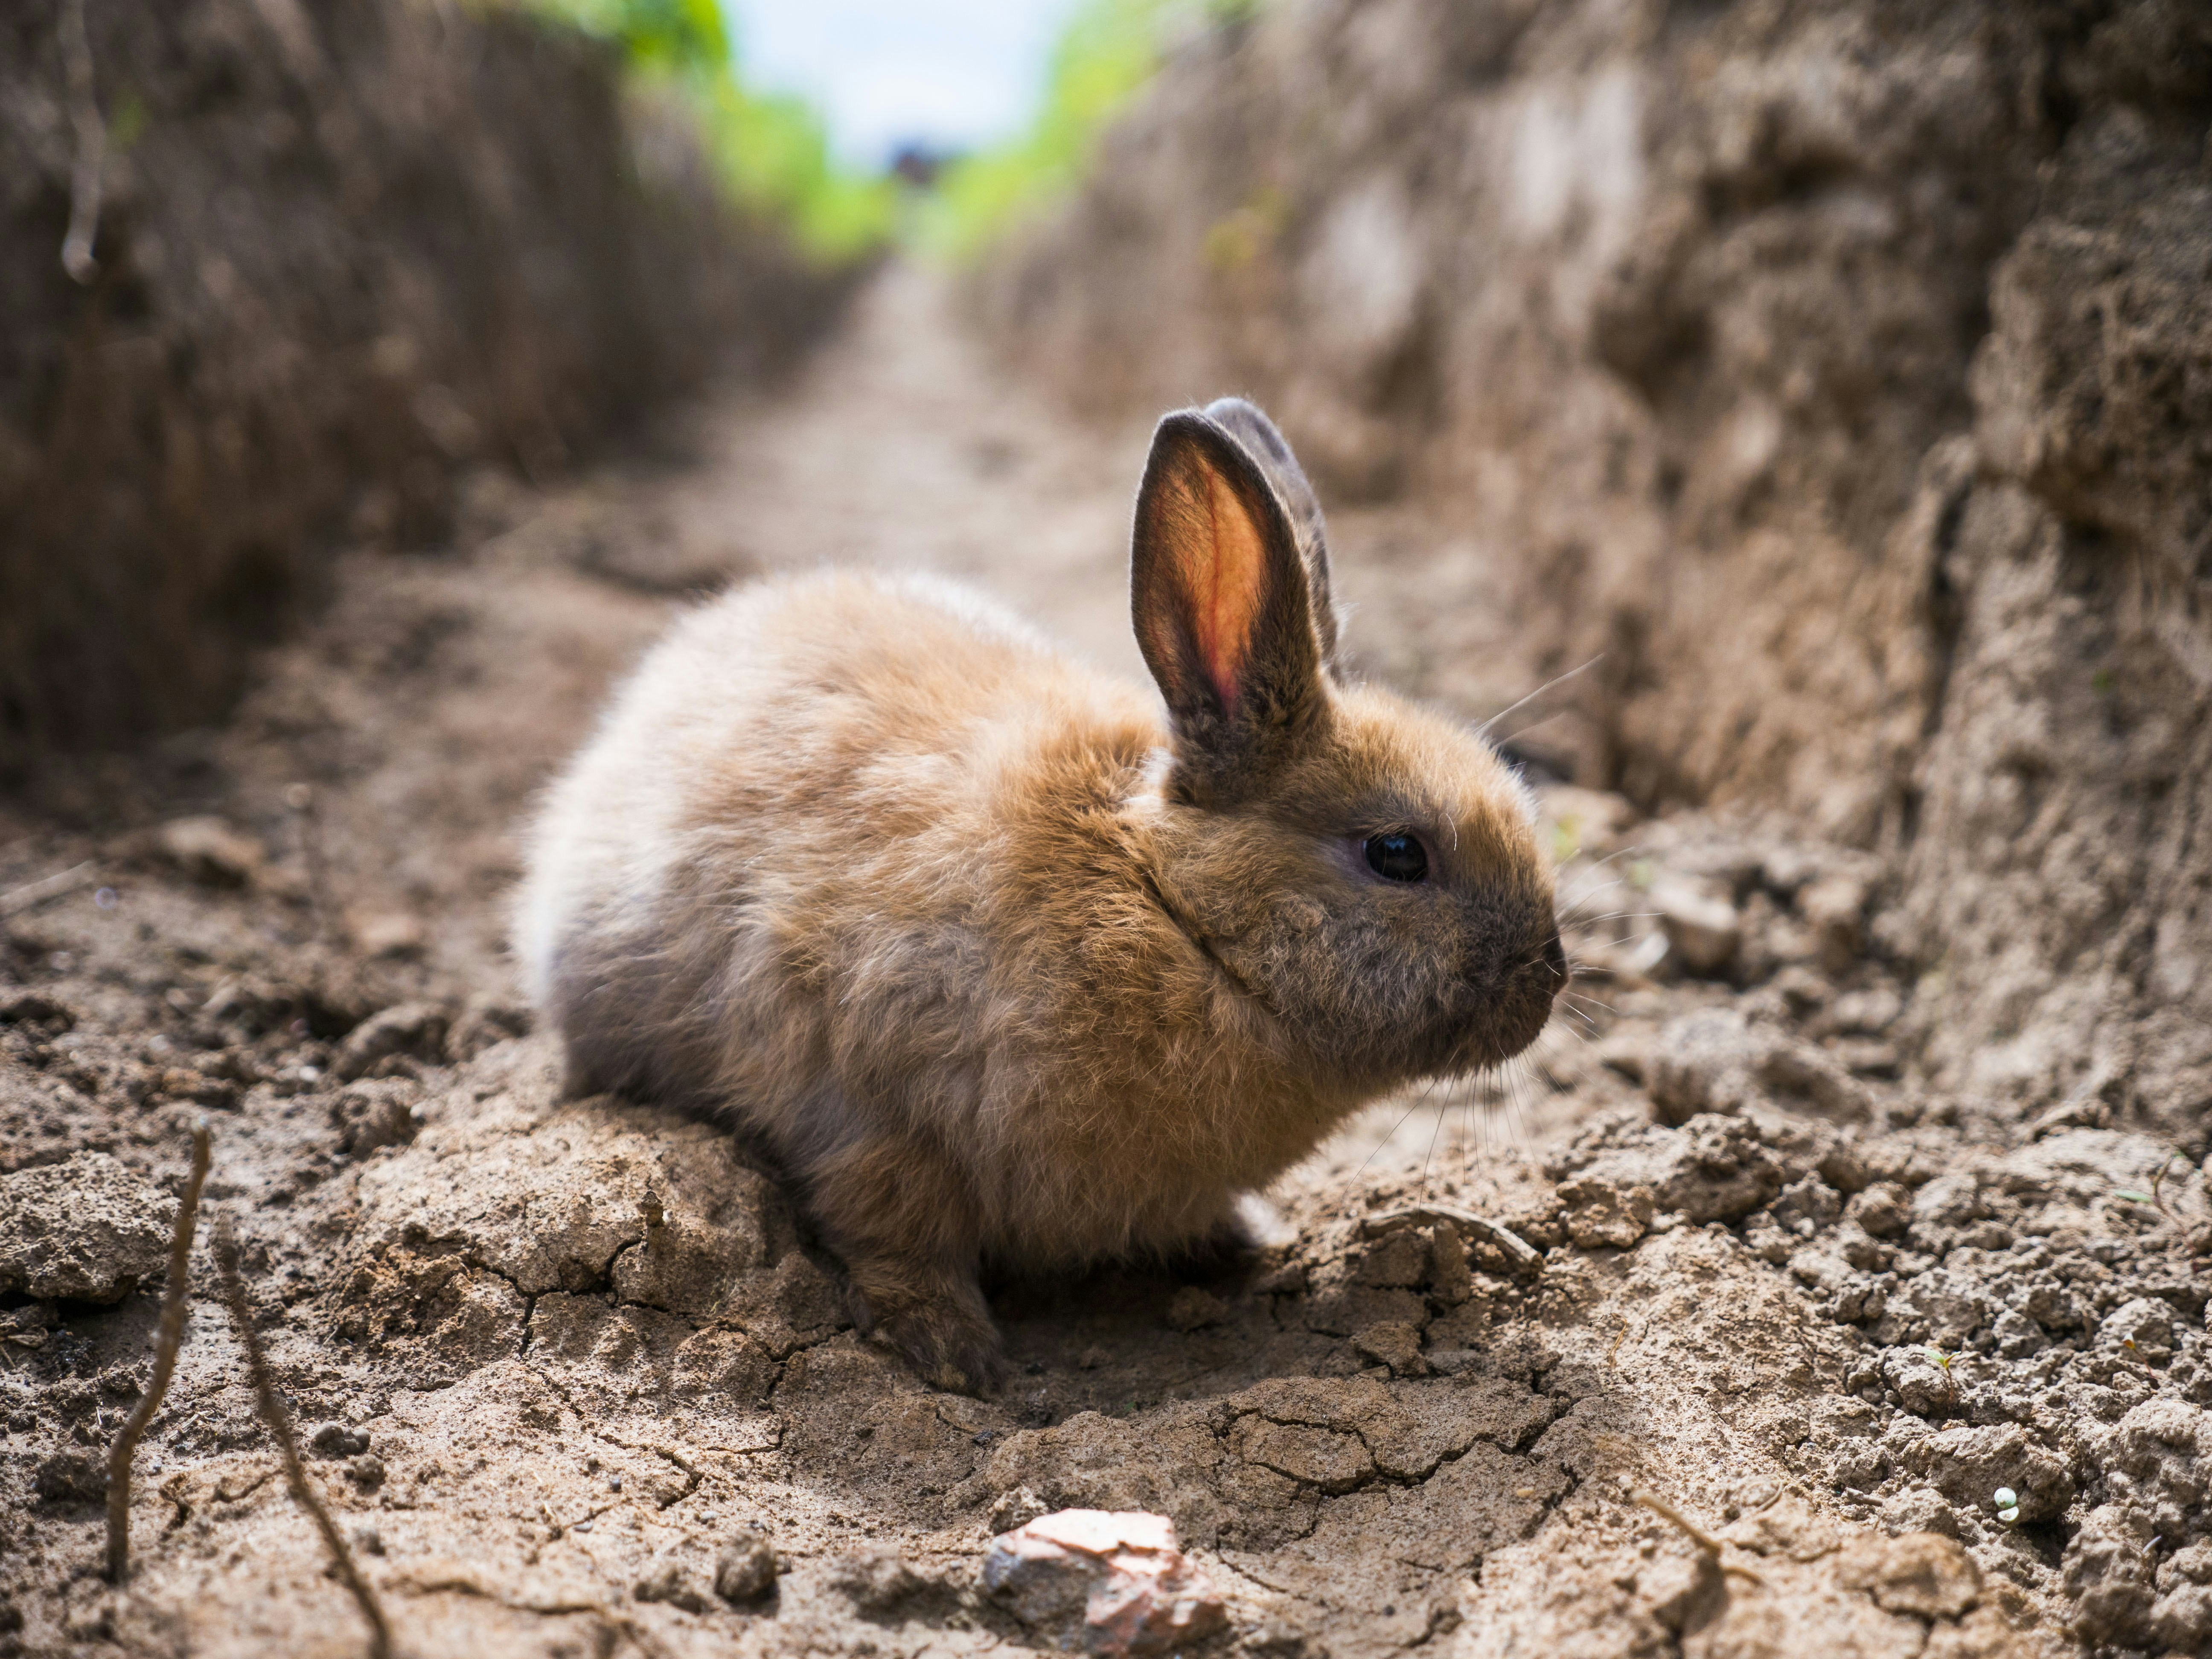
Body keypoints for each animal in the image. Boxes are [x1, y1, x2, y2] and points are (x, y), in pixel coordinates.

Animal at [515, 398, 1564, 1393]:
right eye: (1397, 854)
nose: (1548, 978)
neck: (1171, 910)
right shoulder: (870, 1107)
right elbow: (895, 1234)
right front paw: (957, 1360)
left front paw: (1245, 1236)